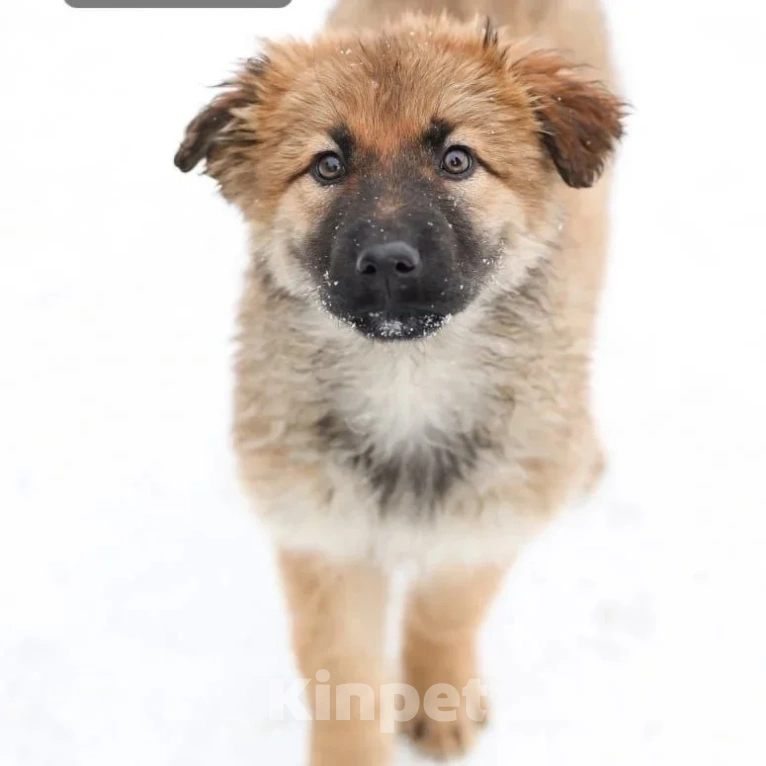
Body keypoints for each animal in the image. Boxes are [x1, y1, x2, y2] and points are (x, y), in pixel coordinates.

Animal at [177, 0, 628, 764]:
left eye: (457, 160)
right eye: (328, 165)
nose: (388, 261)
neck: (406, 381)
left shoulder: (484, 523)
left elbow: (444, 613)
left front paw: (439, 699)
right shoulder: (322, 538)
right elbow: (342, 671)